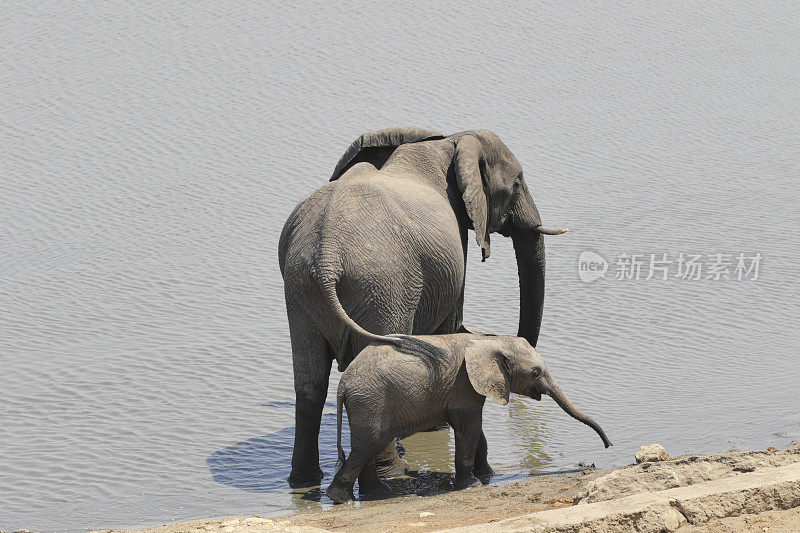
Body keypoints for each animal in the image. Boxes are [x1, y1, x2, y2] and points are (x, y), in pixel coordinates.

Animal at [278, 127, 564, 484]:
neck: (448, 141)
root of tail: (327, 256)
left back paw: (304, 480)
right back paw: (393, 474)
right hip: (382, 287)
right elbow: (449, 323)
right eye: (517, 183)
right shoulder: (455, 250)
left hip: (301, 290)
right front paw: (437, 426)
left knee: (309, 383)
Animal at [322, 332, 608, 502]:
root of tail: (343, 385)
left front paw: (489, 475)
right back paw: (341, 499)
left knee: (367, 446)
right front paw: (472, 485)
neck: (491, 340)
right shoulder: (464, 385)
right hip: (371, 401)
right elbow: (469, 430)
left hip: (366, 403)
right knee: (368, 445)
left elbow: (476, 432)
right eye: (535, 373)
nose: (608, 446)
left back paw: (376, 493)